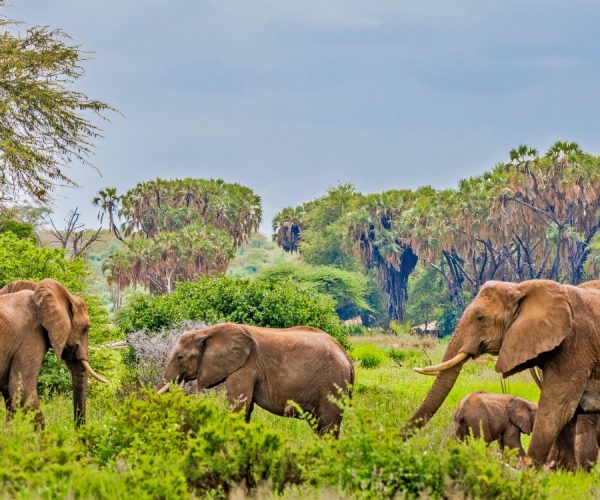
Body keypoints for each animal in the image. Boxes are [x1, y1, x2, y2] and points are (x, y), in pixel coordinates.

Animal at [162, 322, 354, 436]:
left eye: (180, 357)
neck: (206, 332)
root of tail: (348, 358)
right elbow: (245, 410)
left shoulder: (245, 368)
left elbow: (238, 407)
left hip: (332, 384)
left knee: (328, 426)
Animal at [408, 280, 600, 466]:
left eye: (480, 318)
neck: (521, 288)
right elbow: (566, 415)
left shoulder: (575, 347)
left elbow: (557, 410)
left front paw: (531, 472)